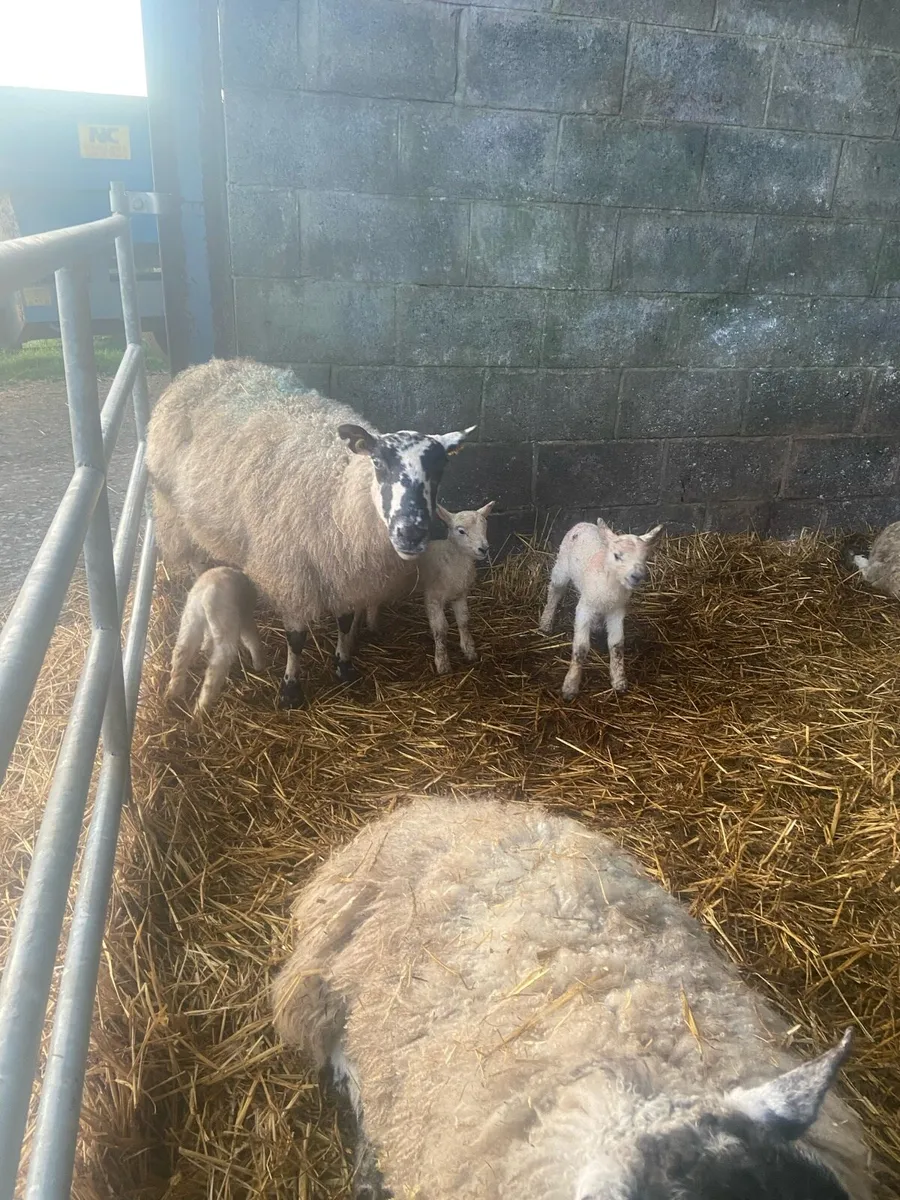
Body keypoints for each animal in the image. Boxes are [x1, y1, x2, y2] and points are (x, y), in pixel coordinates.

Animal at [165, 566, 265, 717]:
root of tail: (208, 594)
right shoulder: (246, 617)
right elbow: (251, 640)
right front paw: (259, 664)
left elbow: (207, 637)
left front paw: (205, 647)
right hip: (227, 626)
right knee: (215, 669)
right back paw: (201, 710)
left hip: (190, 618)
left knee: (181, 652)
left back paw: (174, 692)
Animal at [351, 501, 494, 675]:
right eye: (461, 531)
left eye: (485, 526)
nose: (484, 549)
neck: (452, 558)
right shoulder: (433, 597)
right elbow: (440, 629)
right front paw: (442, 663)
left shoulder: (460, 594)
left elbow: (464, 621)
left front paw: (469, 651)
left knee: (372, 602)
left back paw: (373, 627)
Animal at [540, 517, 663, 700]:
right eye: (617, 555)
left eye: (645, 557)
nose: (637, 576)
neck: (610, 582)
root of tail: (583, 523)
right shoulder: (584, 608)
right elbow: (581, 647)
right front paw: (570, 686)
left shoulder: (617, 611)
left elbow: (617, 644)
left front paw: (619, 680)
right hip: (561, 566)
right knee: (555, 590)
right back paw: (546, 622)